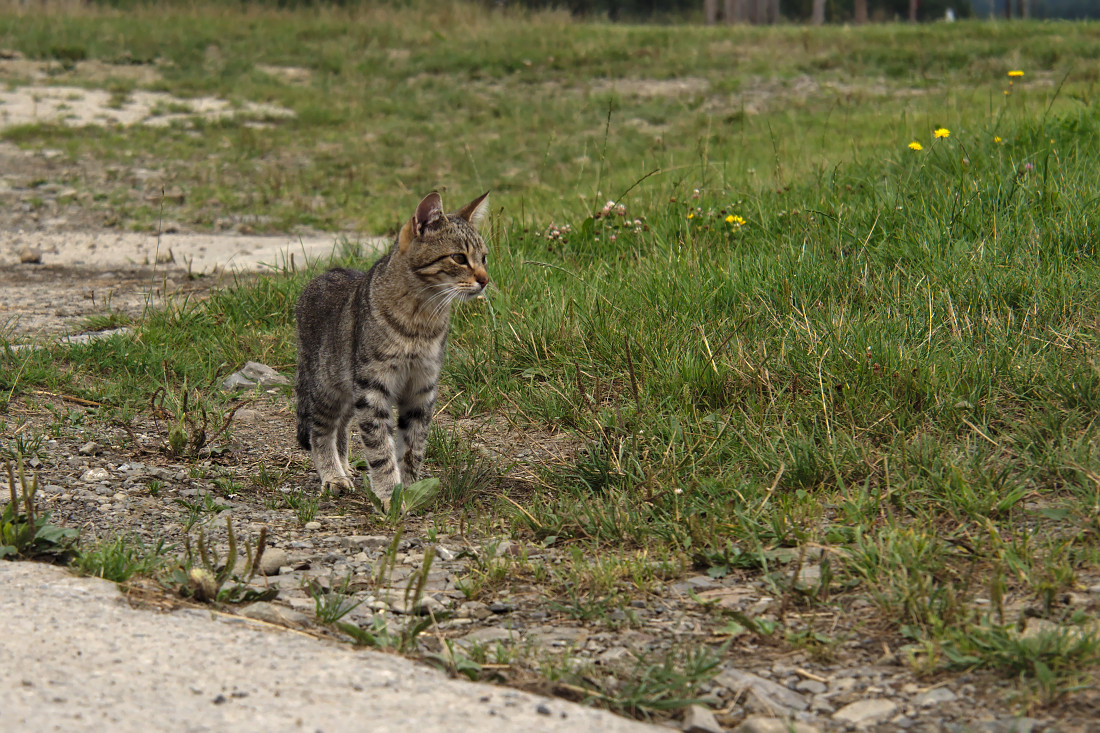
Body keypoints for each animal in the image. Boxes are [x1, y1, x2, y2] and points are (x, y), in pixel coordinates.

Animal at [295, 191, 490, 509]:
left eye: (483, 258)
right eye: (459, 258)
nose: (485, 280)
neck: (421, 319)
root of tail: (324, 274)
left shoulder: (422, 389)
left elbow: (412, 448)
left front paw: (408, 491)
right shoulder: (373, 389)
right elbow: (380, 449)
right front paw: (389, 494)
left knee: (342, 427)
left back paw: (344, 466)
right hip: (327, 385)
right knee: (321, 429)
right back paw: (333, 475)